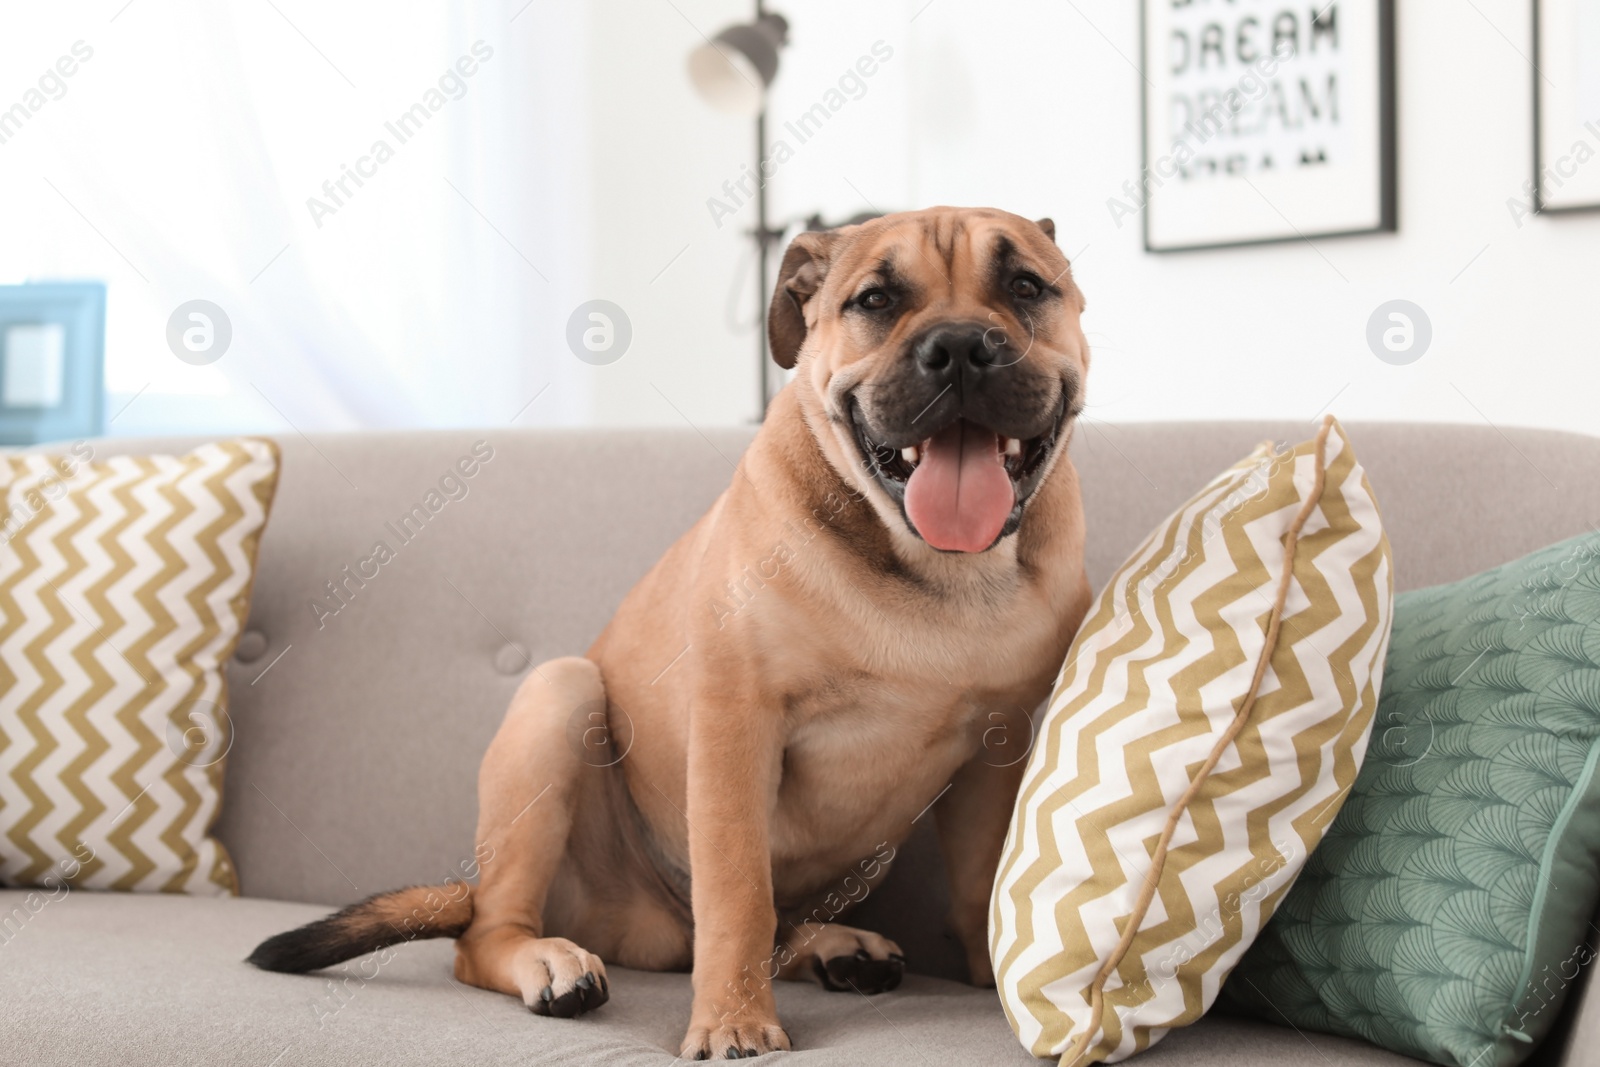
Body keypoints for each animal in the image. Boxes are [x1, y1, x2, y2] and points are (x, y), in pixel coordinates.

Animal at [249, 206, 1094, 1062]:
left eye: (1026, 286)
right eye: (877, 300)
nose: (958, 345)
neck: (936, 571)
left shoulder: (997, 746)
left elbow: (982, 876)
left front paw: (999, 975)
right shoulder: (735, 725)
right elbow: (739, 894)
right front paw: (732, 1020)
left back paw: (835, 946)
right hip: (557, 698)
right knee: (486, 937)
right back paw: (549, 960)